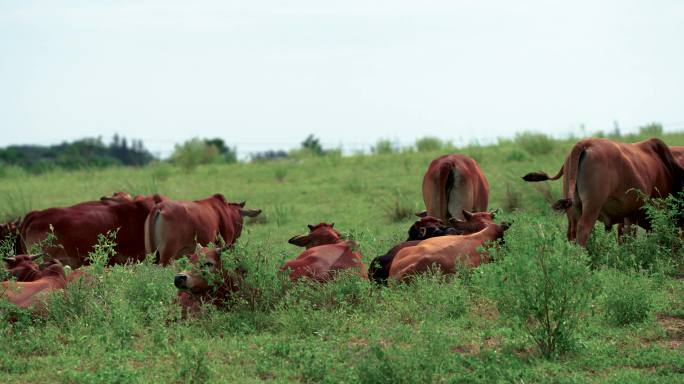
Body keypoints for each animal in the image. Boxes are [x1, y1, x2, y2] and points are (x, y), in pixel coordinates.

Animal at [524, 138, 684, 246]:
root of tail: (585, 143)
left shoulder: (628, 217)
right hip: (592, 206)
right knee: (584, 229)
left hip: (574, 208)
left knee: (572, 232)